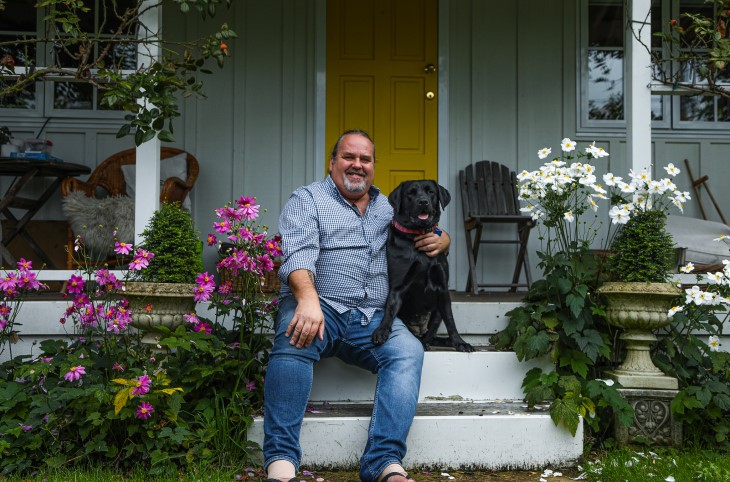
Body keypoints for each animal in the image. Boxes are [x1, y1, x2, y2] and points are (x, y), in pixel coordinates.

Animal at [370, 179, 472, 352]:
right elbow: (390, 310)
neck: (418, 235)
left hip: (436, 313)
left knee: (430, 335)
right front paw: (382, 331)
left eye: (431, 192)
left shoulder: (442, 288)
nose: (423, 202)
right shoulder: (397, 287)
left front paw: (459, 342)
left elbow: (450, 320)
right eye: (410, 193)